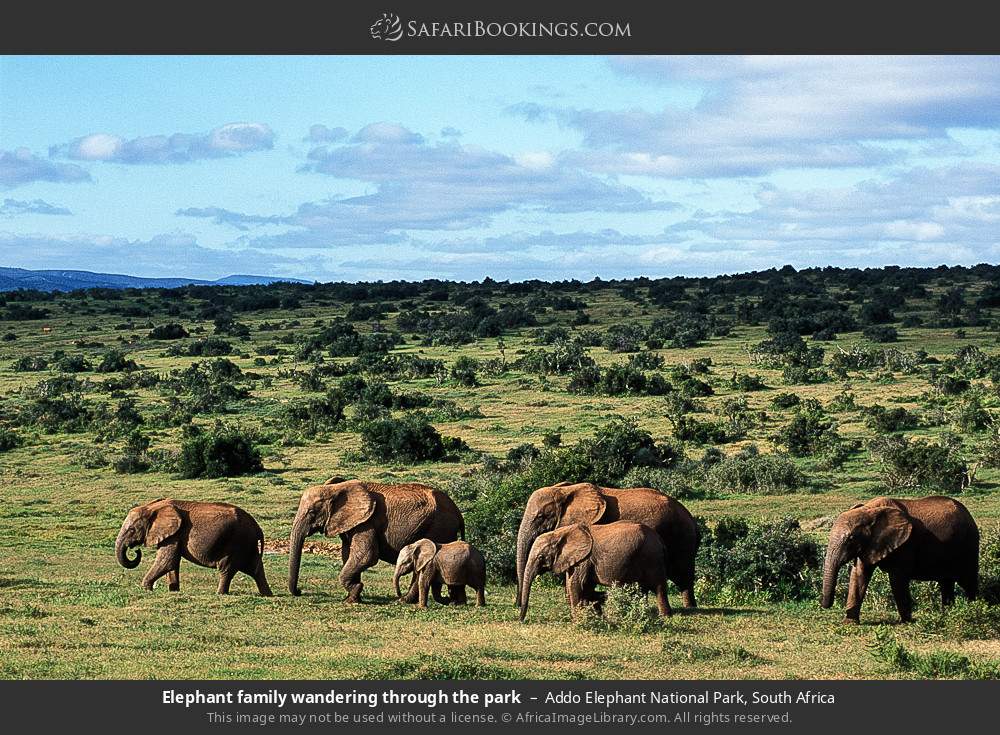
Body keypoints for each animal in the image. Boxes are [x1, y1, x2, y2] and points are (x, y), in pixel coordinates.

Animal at [115, 500, 272, 600]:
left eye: (131, 530)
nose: (136, 551)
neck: (152, 507)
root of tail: (258, 528)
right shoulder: (174, 535)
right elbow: (172, 564)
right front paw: (174, 591)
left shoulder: (174, 534)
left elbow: (166, 562)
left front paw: (146, 588)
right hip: (247, 544)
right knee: (255, 569)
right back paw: (267, 595)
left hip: (237, 542)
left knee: (226, 568)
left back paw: (220, 594)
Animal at [288, 478, 462, 604]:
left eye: (312, 512)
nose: (299, 591)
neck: (336, 488)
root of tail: (458, 513)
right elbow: (348, 555)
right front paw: (352, 598)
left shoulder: (367, 522)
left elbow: (367, 556)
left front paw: (354, 594)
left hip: (439, 527)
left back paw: (403, 601)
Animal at [516, 480, 696, 608]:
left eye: (541, 517)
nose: (517, 604)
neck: (566, 491)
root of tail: (691, 518)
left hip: (680, 538)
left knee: (682, 575)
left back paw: (689, 608)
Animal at [520, 520, 668, 624]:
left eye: (541, 557)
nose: (521, 620)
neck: (561, 532)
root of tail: (660, 540)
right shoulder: (579, 560)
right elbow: (578, 587)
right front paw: (591, 617)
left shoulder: (584, 559)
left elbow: (576, 585)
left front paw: (578, 623)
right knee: (642, 591)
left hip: (651, 557)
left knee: (658, 587)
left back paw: (664, 618)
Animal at [824, 498, 980, 624]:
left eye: (850, 539)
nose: (826, 605)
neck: (870, 510)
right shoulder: (869, 544)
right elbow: (858, 575)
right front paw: (849, 623)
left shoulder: (904, 544)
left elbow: (897, 579)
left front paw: (907, 621)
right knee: (946, 582)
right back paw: (947, 614)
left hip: (969, 545)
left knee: (968, 581)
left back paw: (973, 609)